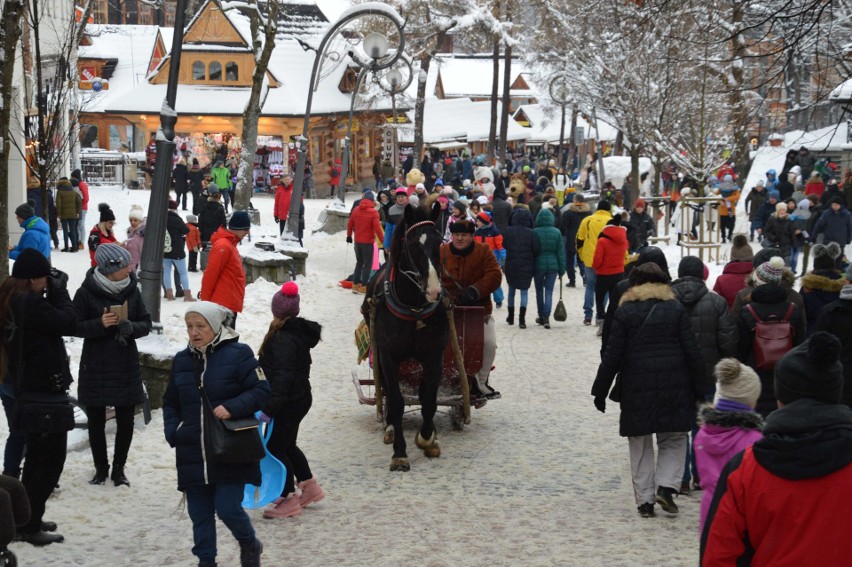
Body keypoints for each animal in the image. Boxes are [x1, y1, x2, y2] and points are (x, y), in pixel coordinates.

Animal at [362, 203, 450, 470]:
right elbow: (397, 400)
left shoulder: (434, 355)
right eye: (412, 246)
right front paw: (399, 452)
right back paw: (390, 427)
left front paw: (427, 437)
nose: (434, 290)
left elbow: (428, 397)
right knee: (388, 393)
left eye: (439, 243)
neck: (414, 310)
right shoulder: (388, 356)